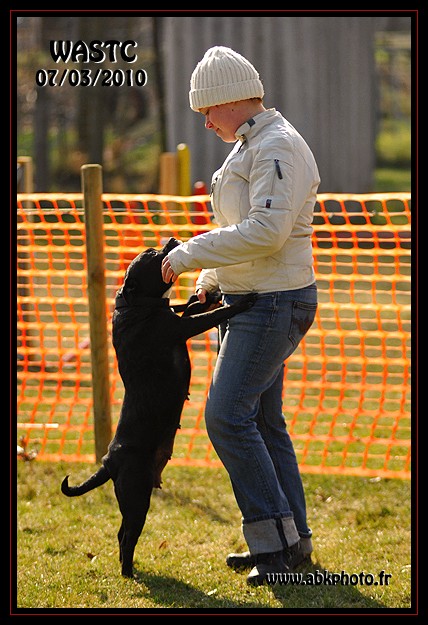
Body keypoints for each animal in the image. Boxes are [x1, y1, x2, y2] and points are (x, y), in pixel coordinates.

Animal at [61, 238, 256, 576]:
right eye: (152, 256)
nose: (170, 241)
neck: (136, 305)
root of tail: (108, 460)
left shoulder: (178, 319)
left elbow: (193, 306)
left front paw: (208, 295)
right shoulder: (181, 328)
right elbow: (208, 315)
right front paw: (241, 302)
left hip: (134, 497)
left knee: (121, 533)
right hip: (137, 496)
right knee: (127, 535)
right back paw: (128, 572)